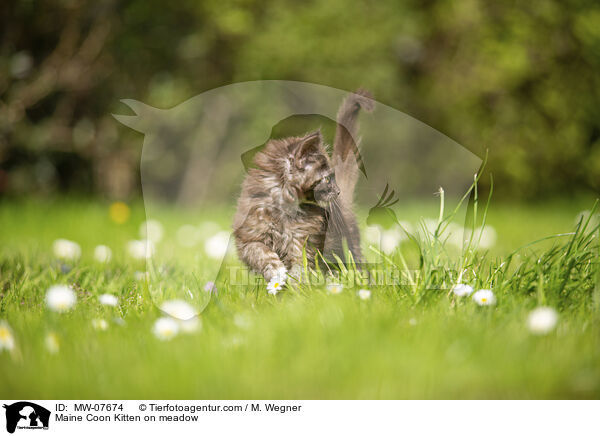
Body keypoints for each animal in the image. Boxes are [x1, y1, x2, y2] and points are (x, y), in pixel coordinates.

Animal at [232, 87, 372, 282]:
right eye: (327, 179)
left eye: (332, 178)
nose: (337, 191)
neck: (284, 211)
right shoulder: (249, 236)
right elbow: (261, 253)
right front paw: (277, 273)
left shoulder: (304, 240)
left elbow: (300, 266)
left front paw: (296, 285)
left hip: (348, 247)